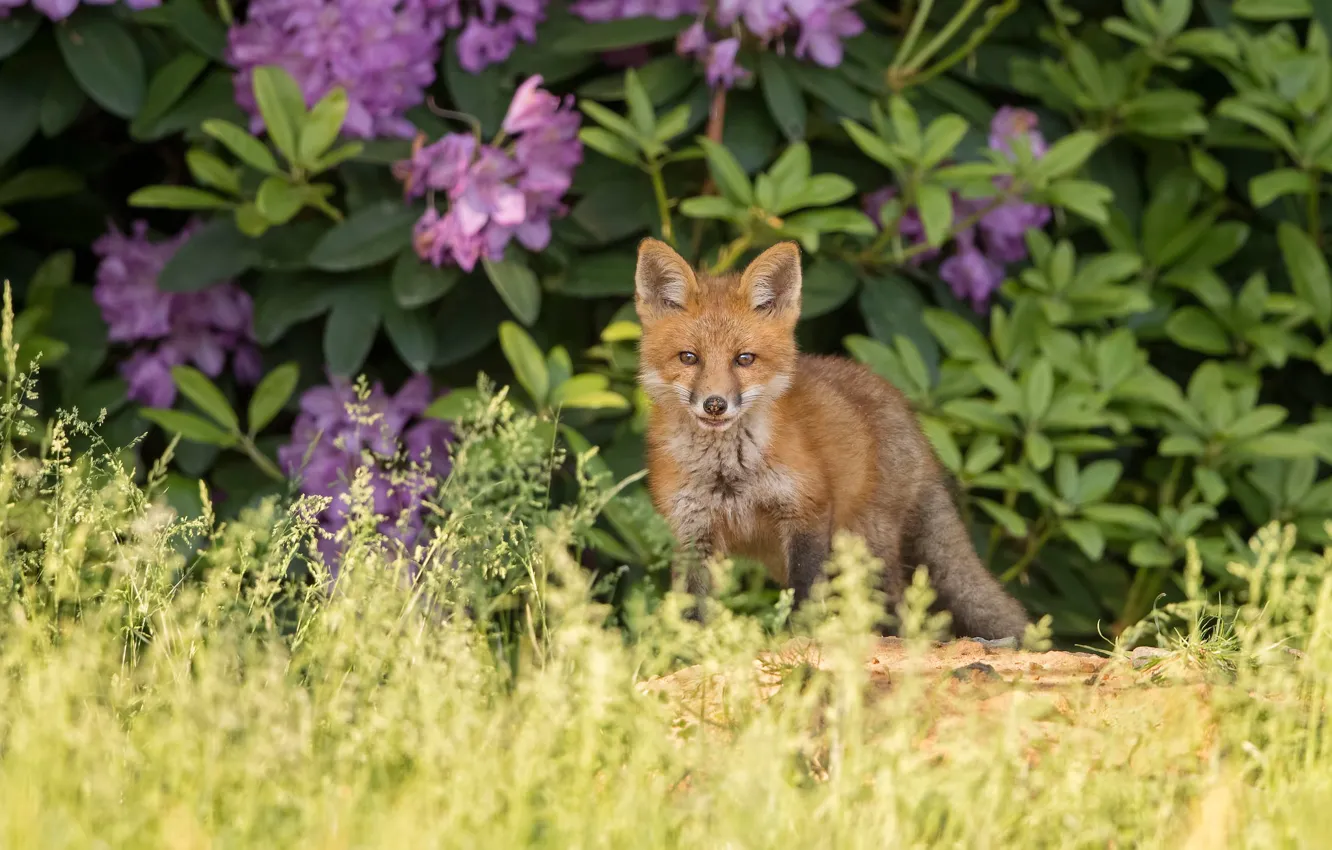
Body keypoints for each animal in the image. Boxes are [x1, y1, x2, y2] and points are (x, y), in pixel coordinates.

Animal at [634, 237, 1030, 641]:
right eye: (688, 357)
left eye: (744, 359)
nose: (715, 404)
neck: (728, 474)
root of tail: (907, 411)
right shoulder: (691, 532)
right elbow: (690, 613)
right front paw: (686, 650)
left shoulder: (807, 510)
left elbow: (803, 594)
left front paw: (797, 639)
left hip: (865, 549)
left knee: (895, 615)